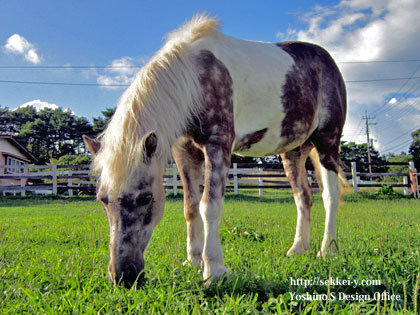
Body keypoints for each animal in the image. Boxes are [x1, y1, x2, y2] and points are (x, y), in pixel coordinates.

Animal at [83, 16, 348, 288]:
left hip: (327, 143)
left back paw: (327, 250)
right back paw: (298, 249)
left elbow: (209, 205)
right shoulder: (185, 152)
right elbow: (190, 207)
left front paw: (214, 270)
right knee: (302, 196)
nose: (123, 276)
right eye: (102, 199)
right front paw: (192, 261)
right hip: (293, 152)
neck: (196, 78)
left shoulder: (218, 145)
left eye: (145, 198)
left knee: (330, 195)